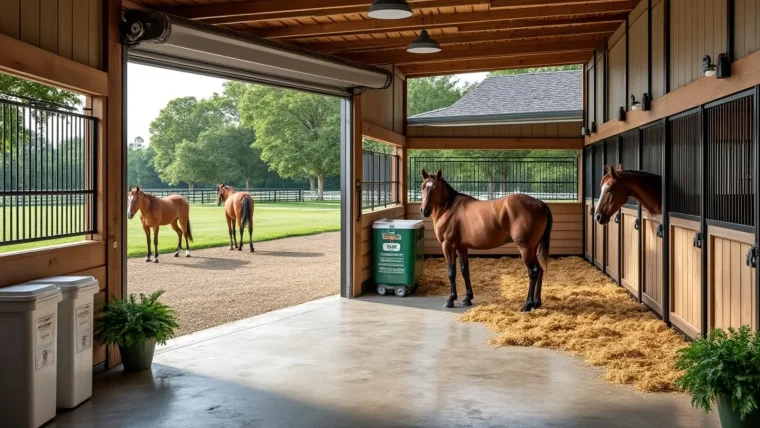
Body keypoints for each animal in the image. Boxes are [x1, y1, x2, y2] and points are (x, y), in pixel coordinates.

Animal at [419, 169, 553, 312]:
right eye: (423, 186)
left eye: (436, 188)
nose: (424, 210)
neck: (449, 208)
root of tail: (539, 203)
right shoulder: (461, 247)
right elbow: (464, 270)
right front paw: (467, 299)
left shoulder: (448, 245)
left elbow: (451, 272)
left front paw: (450, 300)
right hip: (533, 247)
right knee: (540, 270)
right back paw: (536, 302)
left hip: (525, 248)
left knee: (533, 271)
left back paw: (527, 304)